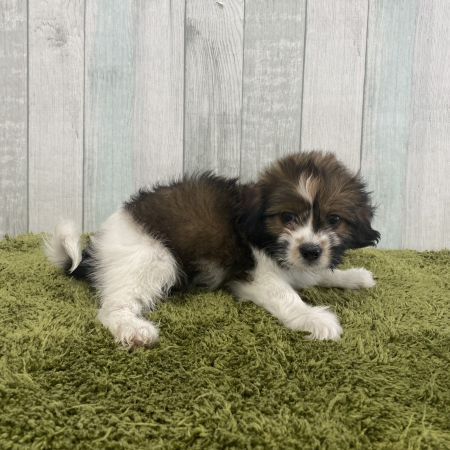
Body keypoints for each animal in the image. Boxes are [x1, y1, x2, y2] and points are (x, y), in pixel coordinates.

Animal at [45, 151, 380, 348]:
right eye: (287, 218)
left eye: (334, 220)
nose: (310, 250)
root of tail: (95, 249)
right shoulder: (251, 273)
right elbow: (286, 296)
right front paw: (314, 318)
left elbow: (319, 273)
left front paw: (353, 276)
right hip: (152, 256)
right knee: (111, 308)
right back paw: (133, 329)